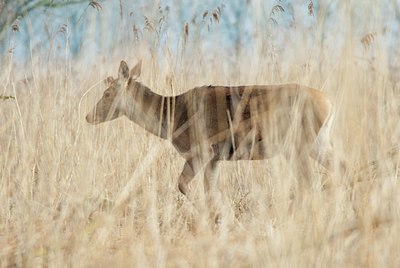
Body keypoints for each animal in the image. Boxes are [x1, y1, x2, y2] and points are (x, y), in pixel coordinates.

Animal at [86, 60, 334, 203]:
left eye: (107, 93)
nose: (89, 116)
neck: (172, 117)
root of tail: (328, 102)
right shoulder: (215, 157)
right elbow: (209, 191)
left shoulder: (201, 150)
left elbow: (183, 185)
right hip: (317, 142)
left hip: (297, 143)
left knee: (308, 181)